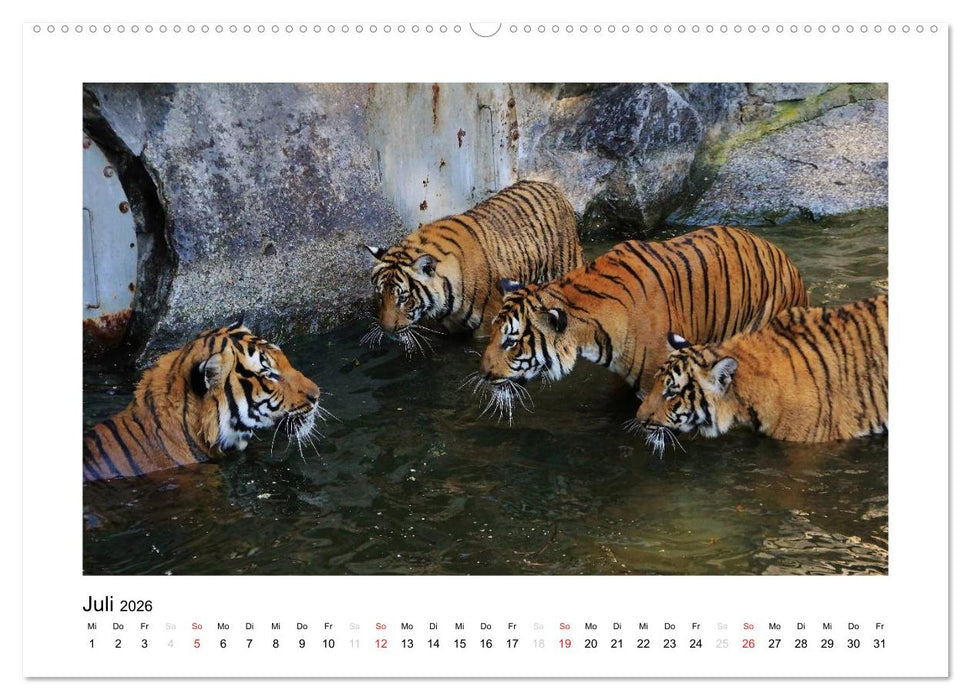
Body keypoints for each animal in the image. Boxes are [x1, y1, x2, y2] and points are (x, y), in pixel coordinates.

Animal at [364, 179, 585, 352]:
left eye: (403, 298)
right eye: (380, 295)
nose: (387, 330)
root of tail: (549, 185)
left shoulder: (486, 325)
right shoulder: (450, 328)